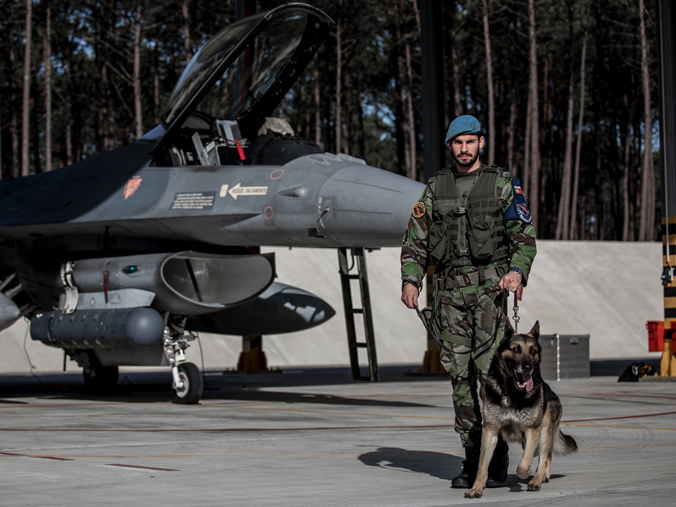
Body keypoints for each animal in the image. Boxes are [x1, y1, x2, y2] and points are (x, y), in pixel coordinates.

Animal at [468, 322, 580, 500]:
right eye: (516, 349)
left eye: (533, 351)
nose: (528, 368)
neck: (512, 392)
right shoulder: (490, 431)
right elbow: (482, 466)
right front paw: (477, 488)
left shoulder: (532, 431)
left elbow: (524, 464)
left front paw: (526, 474)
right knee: (544, 454)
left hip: (545, 431)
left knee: (544, 454)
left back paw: (538, 478)